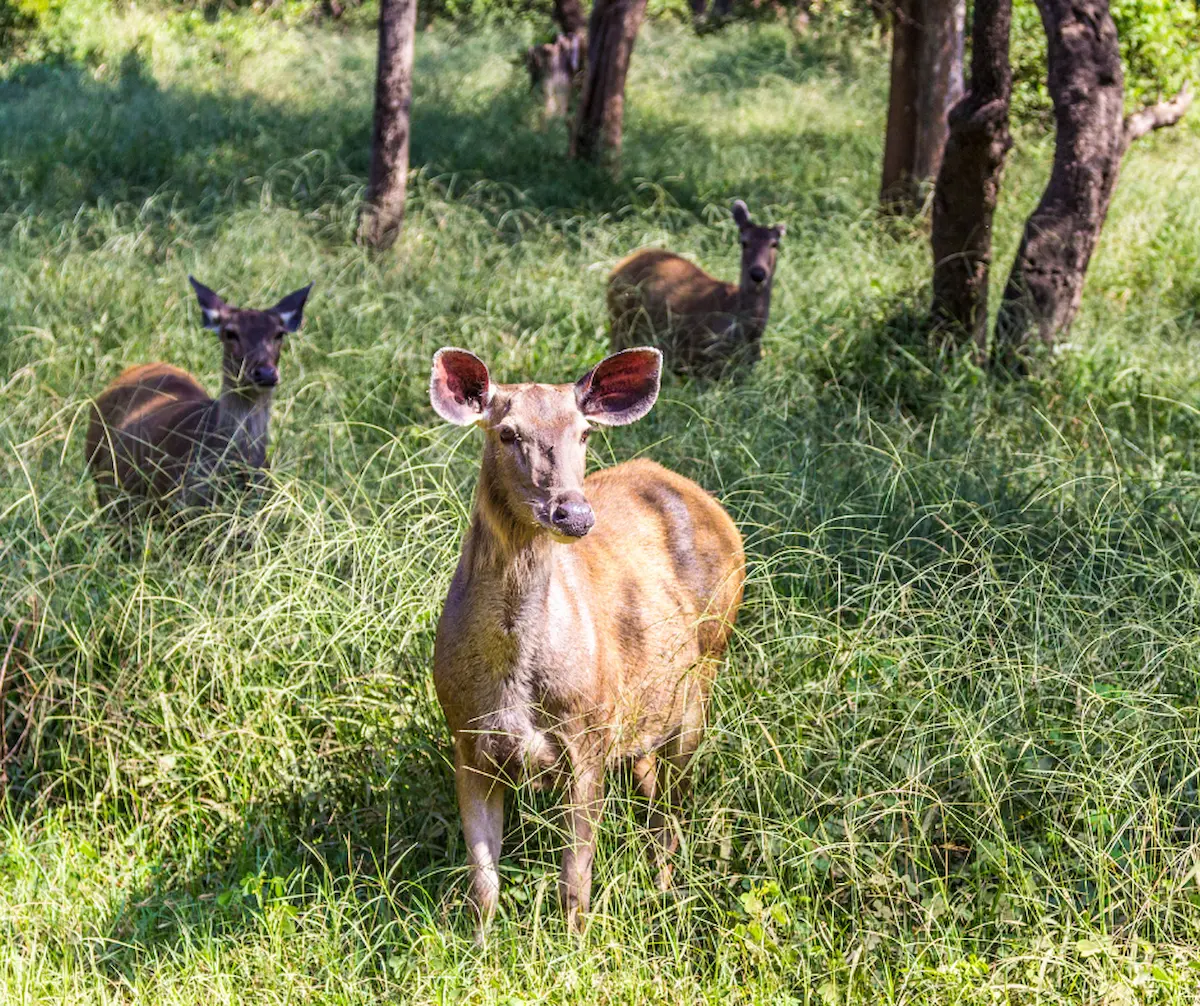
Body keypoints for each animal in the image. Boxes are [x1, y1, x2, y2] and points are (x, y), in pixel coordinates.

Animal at [427, 345, 744, 936]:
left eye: (585, 433)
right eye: (507, 432)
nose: (573, 512)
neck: (513, 680)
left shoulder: (588, 733)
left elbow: (575, 882)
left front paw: (575, 945)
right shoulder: (466, 738)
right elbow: (483, 885)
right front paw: (477, 948)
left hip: (705, 672)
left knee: (673, 808)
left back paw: (667, 895)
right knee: (652, 789)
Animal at [609, 200, 787, 379]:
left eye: (774, 244)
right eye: (744, 242)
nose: (758, 274)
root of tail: (619, 265)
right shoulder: (700, 364)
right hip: (619, 326)